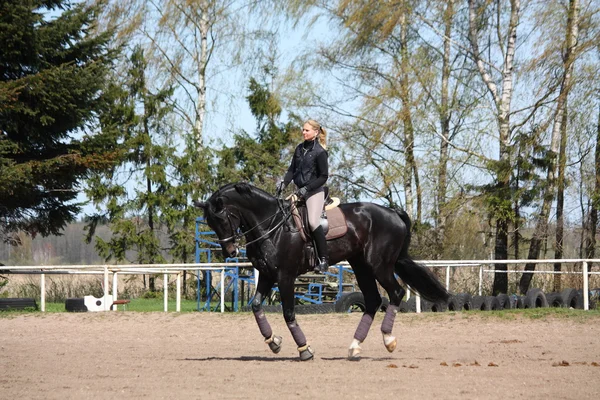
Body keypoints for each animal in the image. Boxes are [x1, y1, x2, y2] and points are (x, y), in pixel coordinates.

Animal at [195, 181, 448, 360]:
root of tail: (394, 213)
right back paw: (355, 346)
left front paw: (304, 349)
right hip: (361, 266)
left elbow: (289, 313)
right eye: (210, 223)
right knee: (373, 300)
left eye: (222, 218)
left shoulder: (285, 277)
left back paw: (388, 340)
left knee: (395, 293)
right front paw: (274, 341)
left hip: (379, 265)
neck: (271, 225)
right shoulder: (267, 275)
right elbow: (256, 305)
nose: (229, 251)